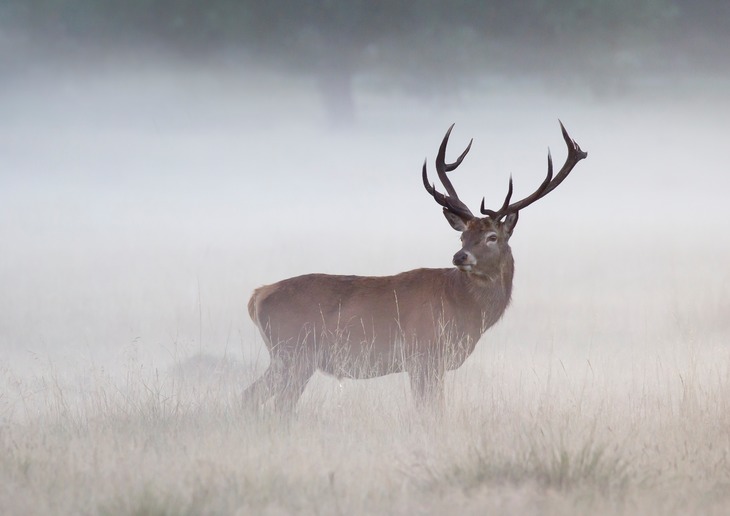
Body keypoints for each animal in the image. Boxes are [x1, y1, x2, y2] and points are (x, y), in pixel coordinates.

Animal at [245, 122, 584, 412]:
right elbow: (431, 413)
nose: (459, 257)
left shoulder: (430, 362)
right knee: (271, 404)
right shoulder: (424, 354)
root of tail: (257, 295)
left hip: (290, 357)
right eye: (463, 235)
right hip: (294, 352)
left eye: (492, 236)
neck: (465, 309)